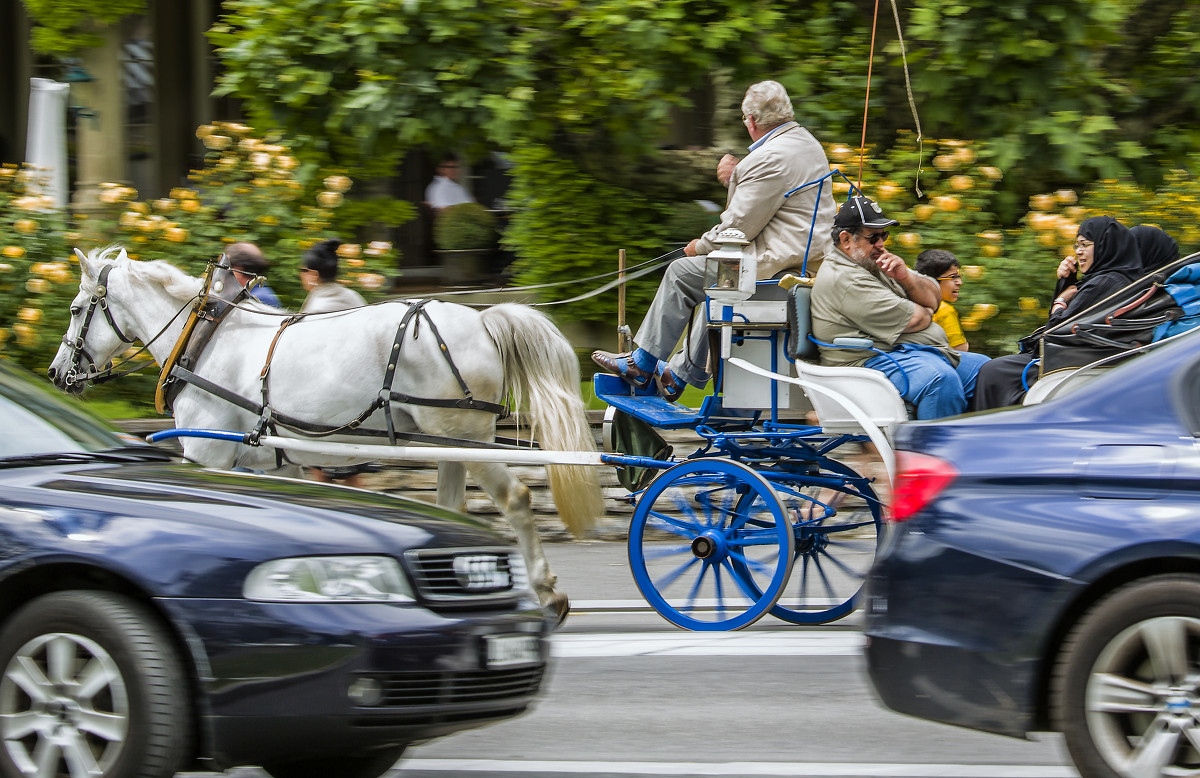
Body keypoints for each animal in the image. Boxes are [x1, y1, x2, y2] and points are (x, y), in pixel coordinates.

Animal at [50, 249, 604, 619]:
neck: (206, 339)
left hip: (466, 438)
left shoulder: (208, 453)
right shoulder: (276, 461)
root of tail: (484, 320)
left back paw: (547, 592)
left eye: (77, 309)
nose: (58, 373)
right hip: (447, 443)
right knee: (451, 508)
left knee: (516, 498)